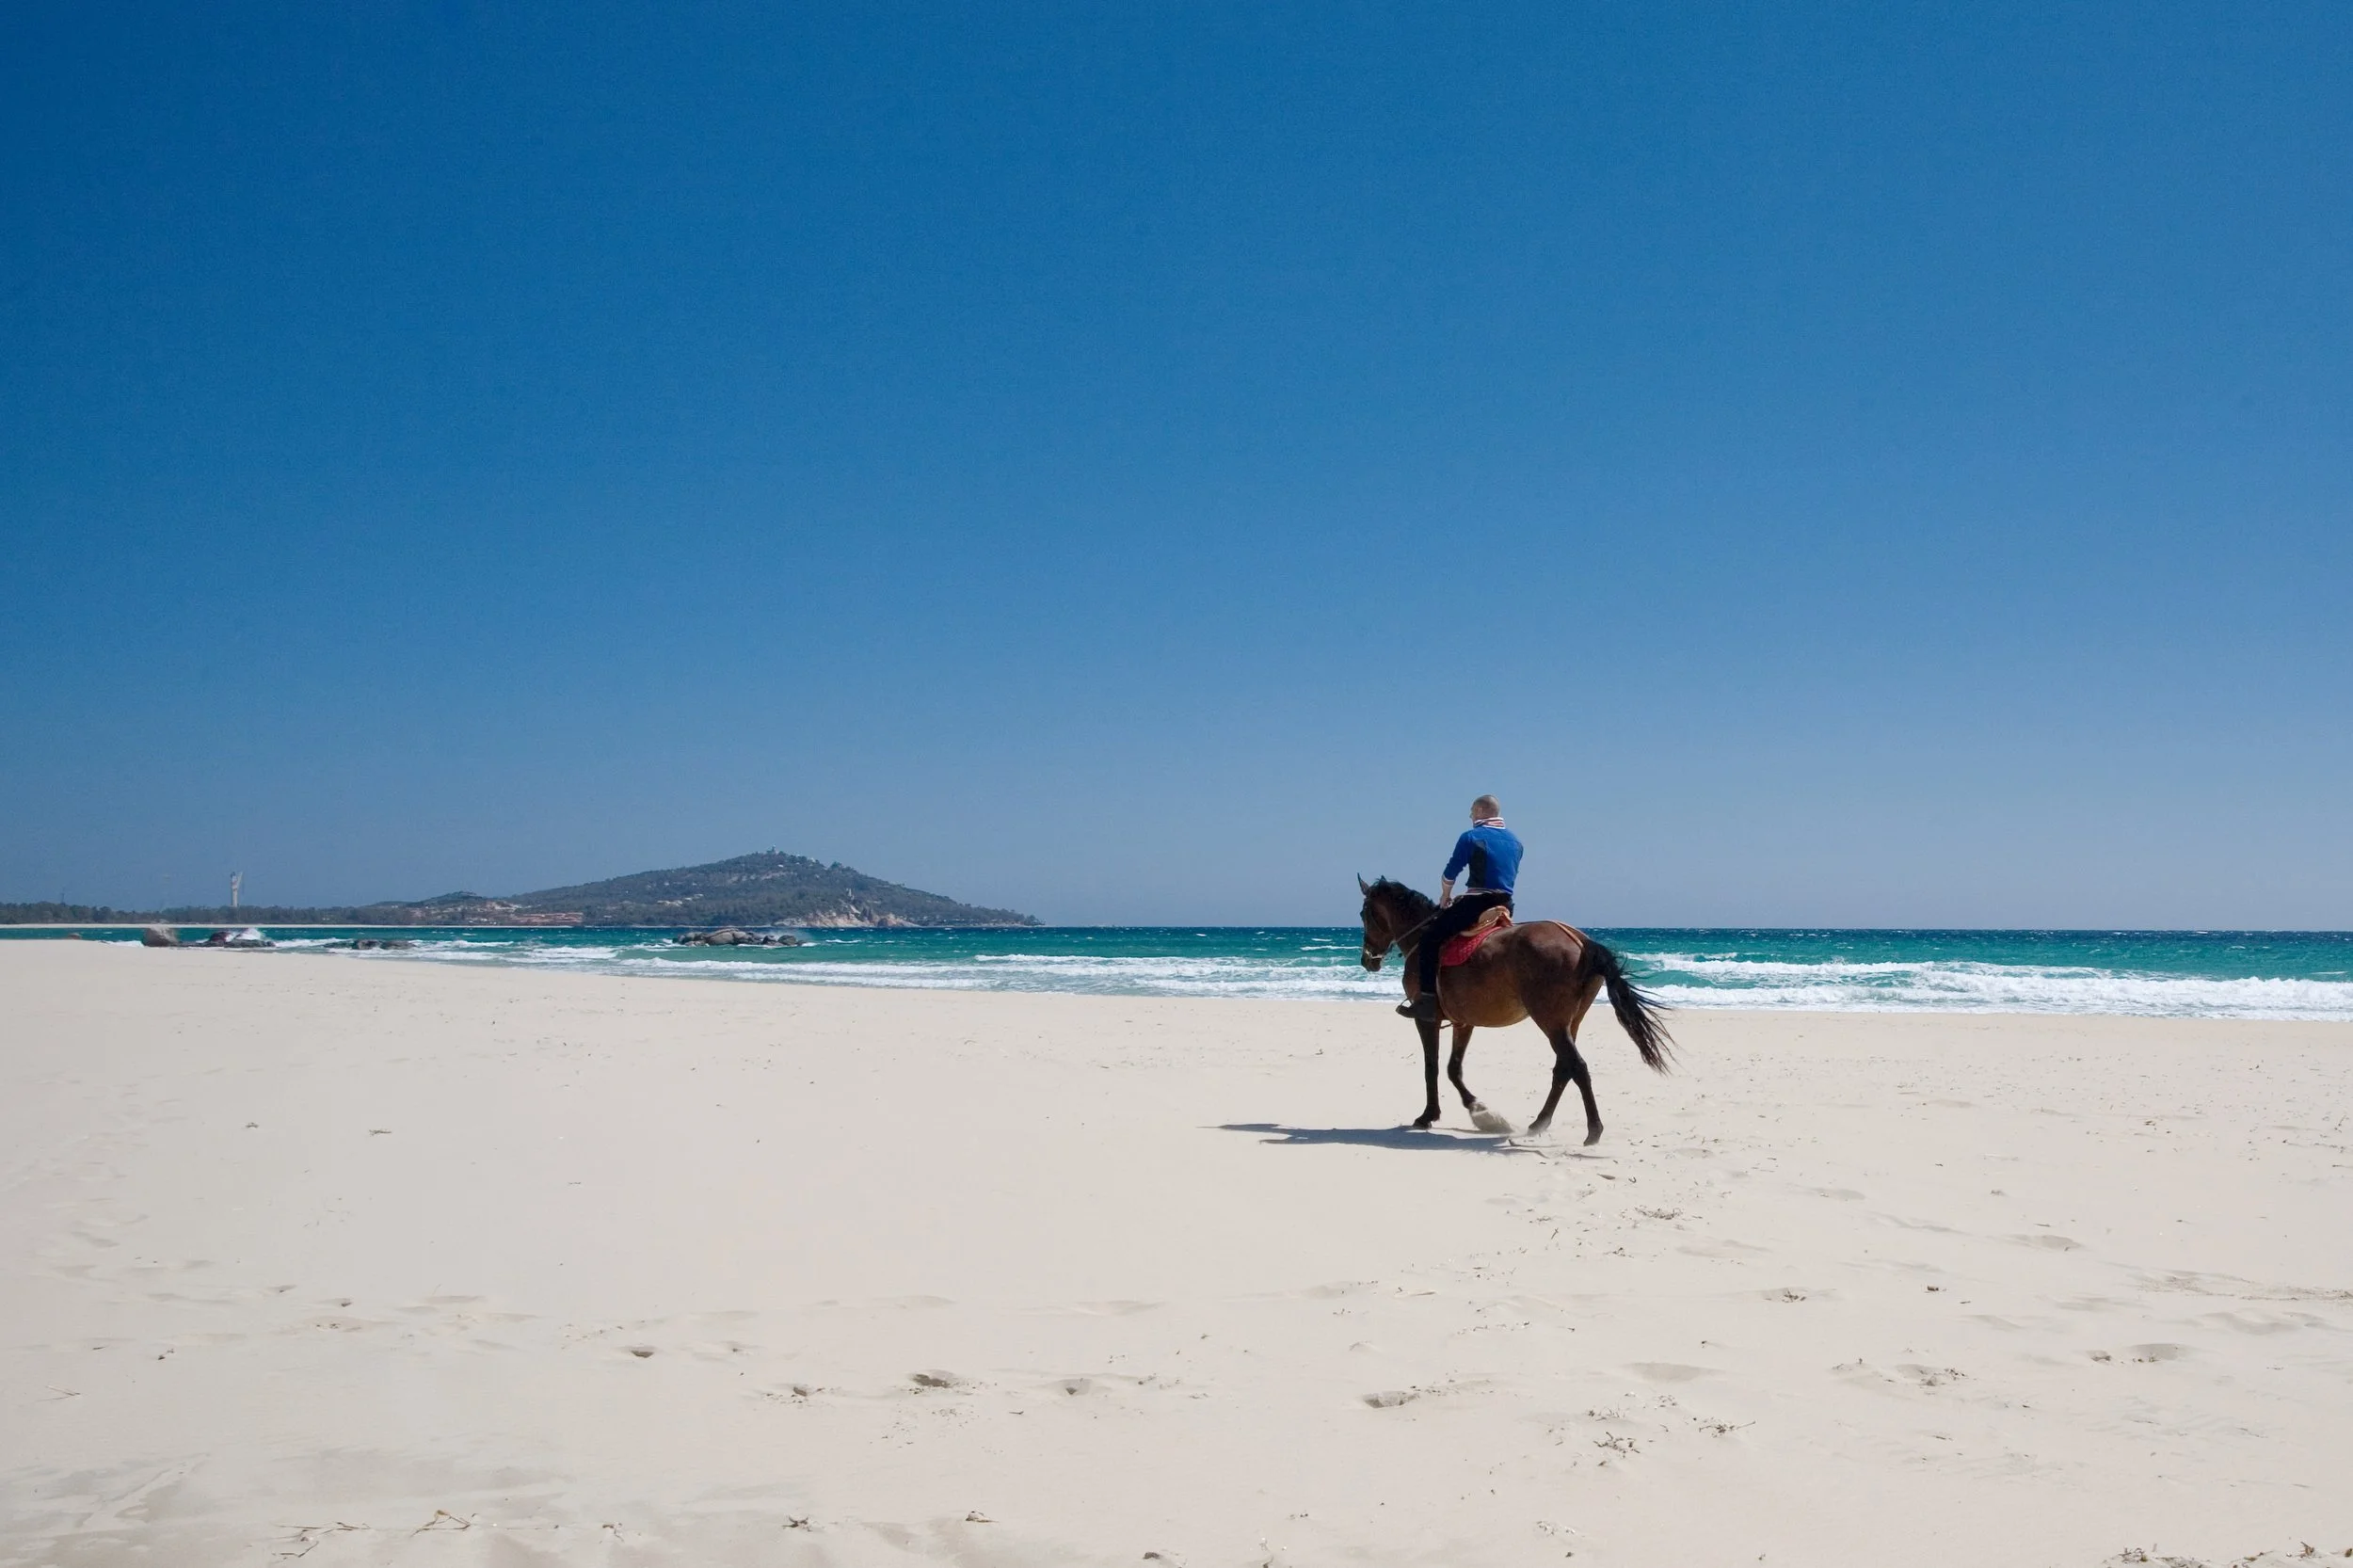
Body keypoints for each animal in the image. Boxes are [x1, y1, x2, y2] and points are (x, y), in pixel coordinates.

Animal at [1356, 876, 1675, 1144]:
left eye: (1363, 914)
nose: (1367, 960)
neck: (1421, 938)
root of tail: (1582, 941)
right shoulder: (1463, 1022)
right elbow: (1453, 1068)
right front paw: (1481, 1111)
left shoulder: (1427, 1020)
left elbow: (1431, 1067)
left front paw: (1429, 1116)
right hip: (1569, 1022)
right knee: (1563, 1068)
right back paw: (1539, 1123)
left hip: (1550, 1020)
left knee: (1577, 1066)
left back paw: (1593, 1130)